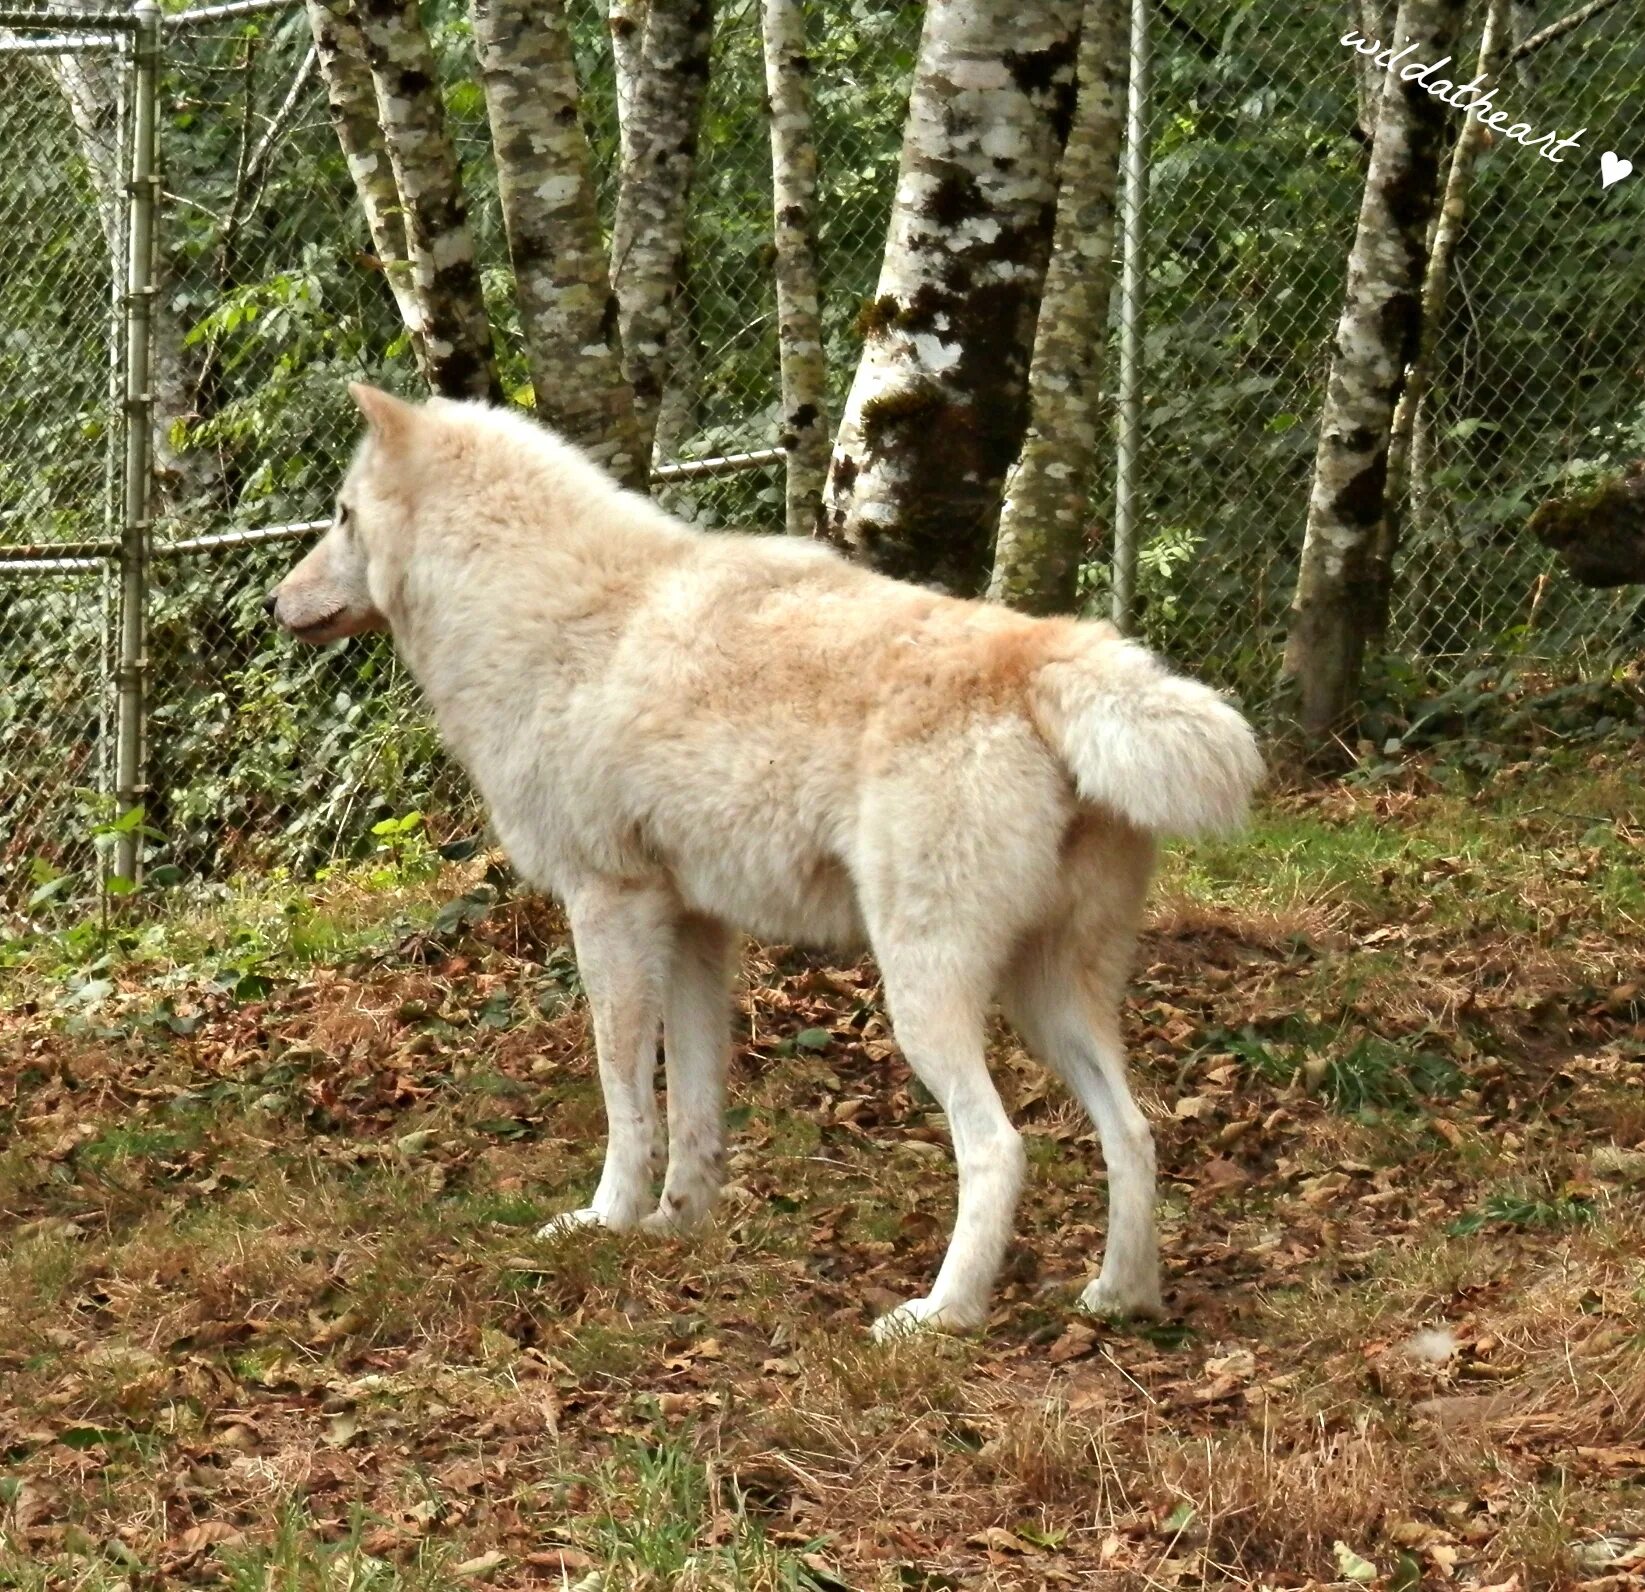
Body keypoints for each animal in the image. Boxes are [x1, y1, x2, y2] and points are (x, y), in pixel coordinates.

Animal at [276, 391, 1263, 1335]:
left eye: (341, 514)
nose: (275, 605)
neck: (550, 612)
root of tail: (1039, 652)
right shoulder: (695, 929)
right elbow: (695, 1104)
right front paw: (677, 1226)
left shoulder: (608, 904)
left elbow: (623, 1095)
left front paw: (603, 1222)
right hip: (1048, 998)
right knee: (1133, 1134)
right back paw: (1120, 1298)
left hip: (925, 994)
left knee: (998, 1147)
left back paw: (941, 1317)